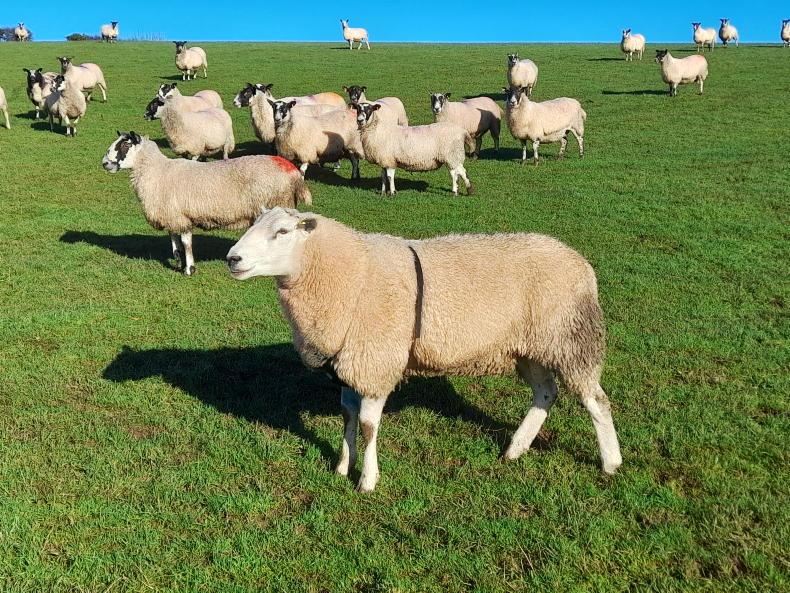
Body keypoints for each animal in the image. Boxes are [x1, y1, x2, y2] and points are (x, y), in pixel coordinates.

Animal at [102, 132, 311, 276]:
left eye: (125, 145)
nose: (104, 163)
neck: (158, 171)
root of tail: (292, 171)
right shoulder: (172, 214)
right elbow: (174, 239)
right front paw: (177, 260)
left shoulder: (182, 217)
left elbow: (186, 242)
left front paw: (189, 269)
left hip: (279, 203)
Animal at [226, 207, 623, 492]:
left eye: (282, 232)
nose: (233, 258)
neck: (351, 274)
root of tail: (581, 263)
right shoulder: (351, 365)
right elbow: (348, 418)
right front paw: (341, 467)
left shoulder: (377, 362)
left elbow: (368, 426)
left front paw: (367, 480)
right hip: (529, 347)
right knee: (545, 394)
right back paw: (515, 449)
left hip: (570, 338)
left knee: (596, 401)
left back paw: (611, 462)